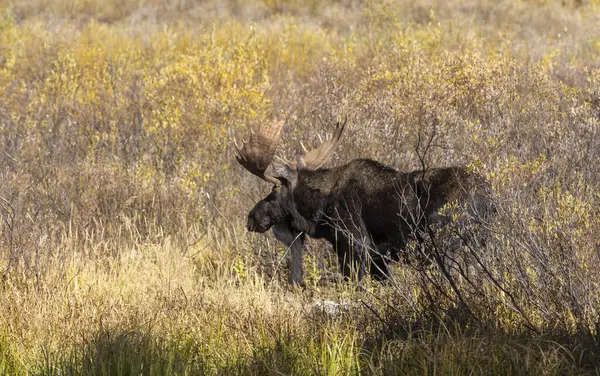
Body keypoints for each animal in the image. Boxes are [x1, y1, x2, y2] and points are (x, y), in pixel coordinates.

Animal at [234, 119, 492, 286]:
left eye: (273, 192)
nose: (251, 217)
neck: (319, 211)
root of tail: (489, 200)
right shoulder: (378, 256)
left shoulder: (354, 242)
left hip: (447, 243)